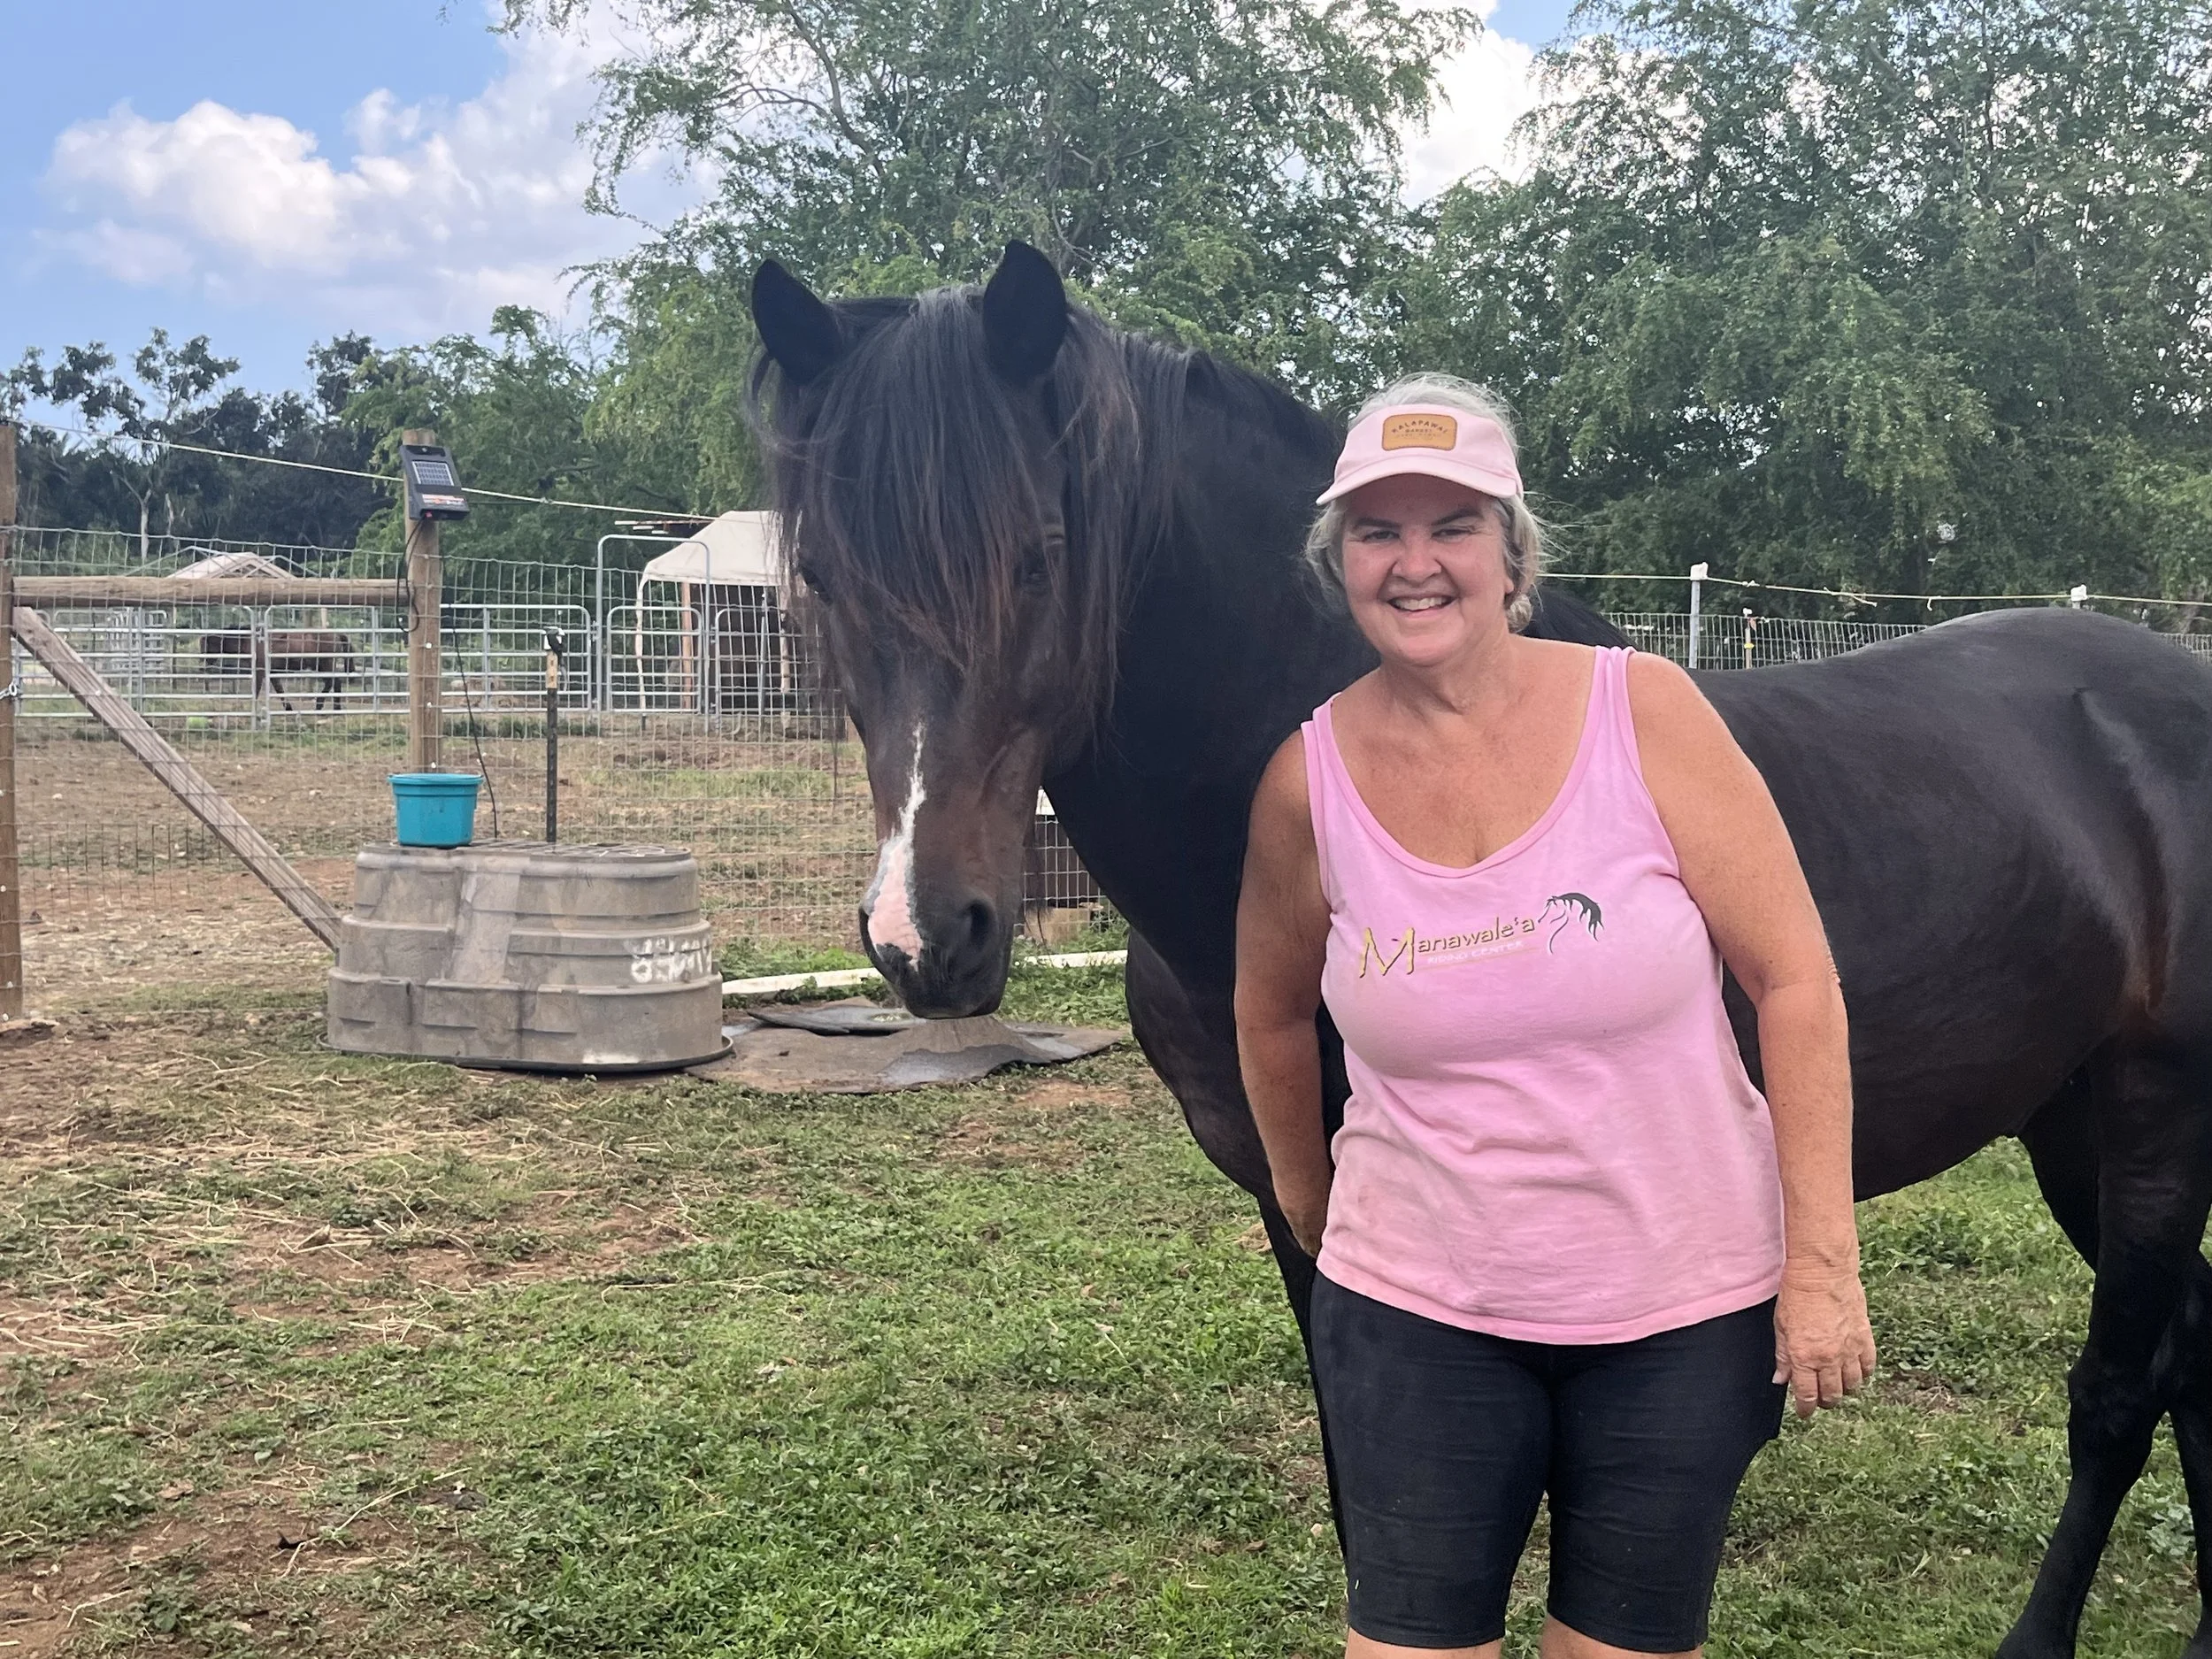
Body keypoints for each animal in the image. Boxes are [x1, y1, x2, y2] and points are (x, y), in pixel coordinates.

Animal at [749, 240, 2212, 1659]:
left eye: (1041, 557)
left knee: (2124, 1384)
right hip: (2066, 1118)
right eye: (820, 581)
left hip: (2150, 1113)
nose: (924, 935)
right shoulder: (1311, 1212)